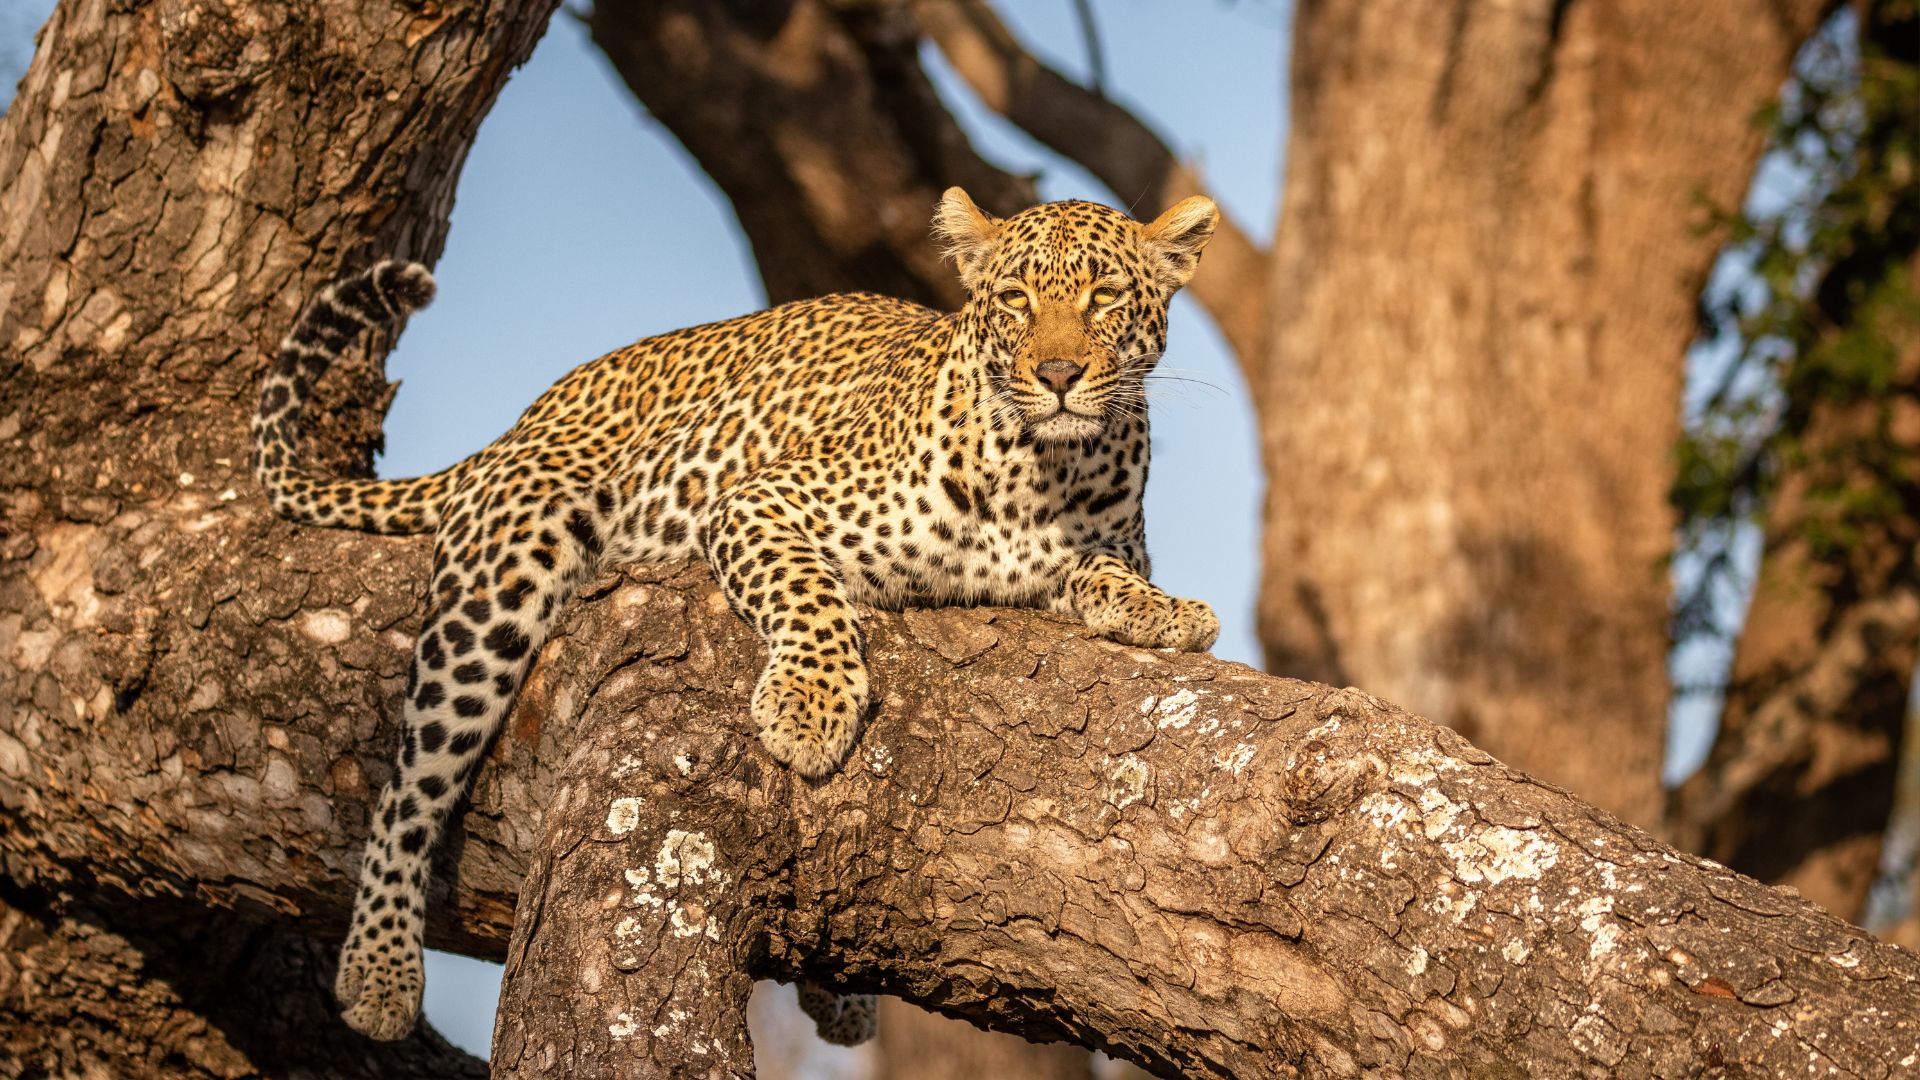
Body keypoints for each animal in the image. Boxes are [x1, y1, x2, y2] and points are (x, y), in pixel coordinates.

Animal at [253, 188, 1221, 1044]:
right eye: (1016, 300)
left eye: (1104, 298)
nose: (1056, 376)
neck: (1044, 474)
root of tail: (529, 417)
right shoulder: (761, 501)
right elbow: (811, 596)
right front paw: (810, 707)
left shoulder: (1096, 545)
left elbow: (1105, 572)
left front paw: (1167, 612)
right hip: (502, 579)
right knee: (407, 787)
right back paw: (379, 970)